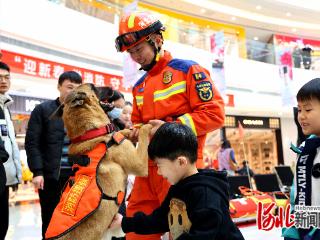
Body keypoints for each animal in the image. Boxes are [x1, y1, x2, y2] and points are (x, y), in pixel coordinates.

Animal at [45, 83, 152, 239]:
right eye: (94, 87)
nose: (113, 88)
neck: (91, 134)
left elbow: (119, 132)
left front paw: (129, 130)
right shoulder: (139, 164)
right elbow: (143, 133)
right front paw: (148, 125)